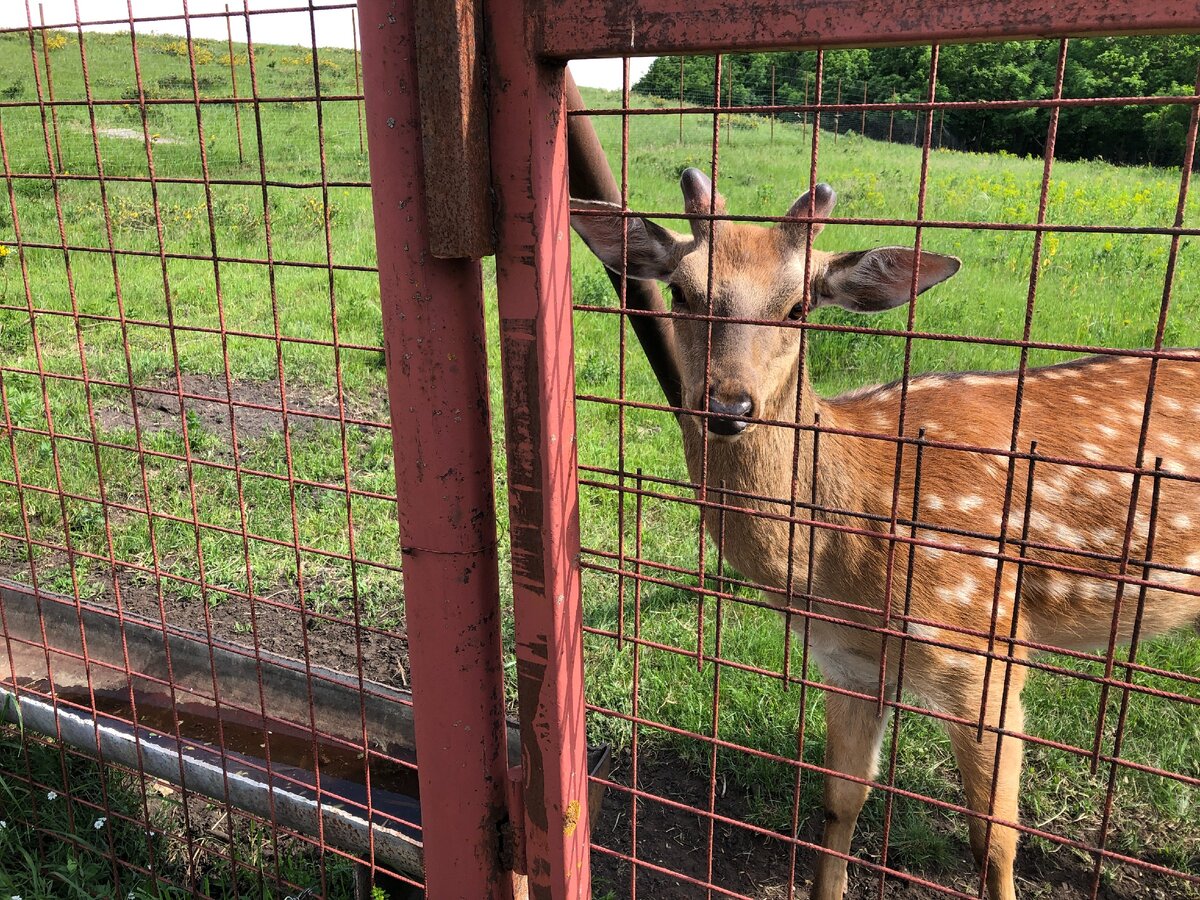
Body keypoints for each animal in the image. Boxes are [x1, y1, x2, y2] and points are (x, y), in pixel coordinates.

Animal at [566, 165, 1200, 897]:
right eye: (681, 291)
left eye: (799, 307)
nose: (729, 405)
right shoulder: (845, 662)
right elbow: (839, 803)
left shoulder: (985, 645)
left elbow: (994, 841)